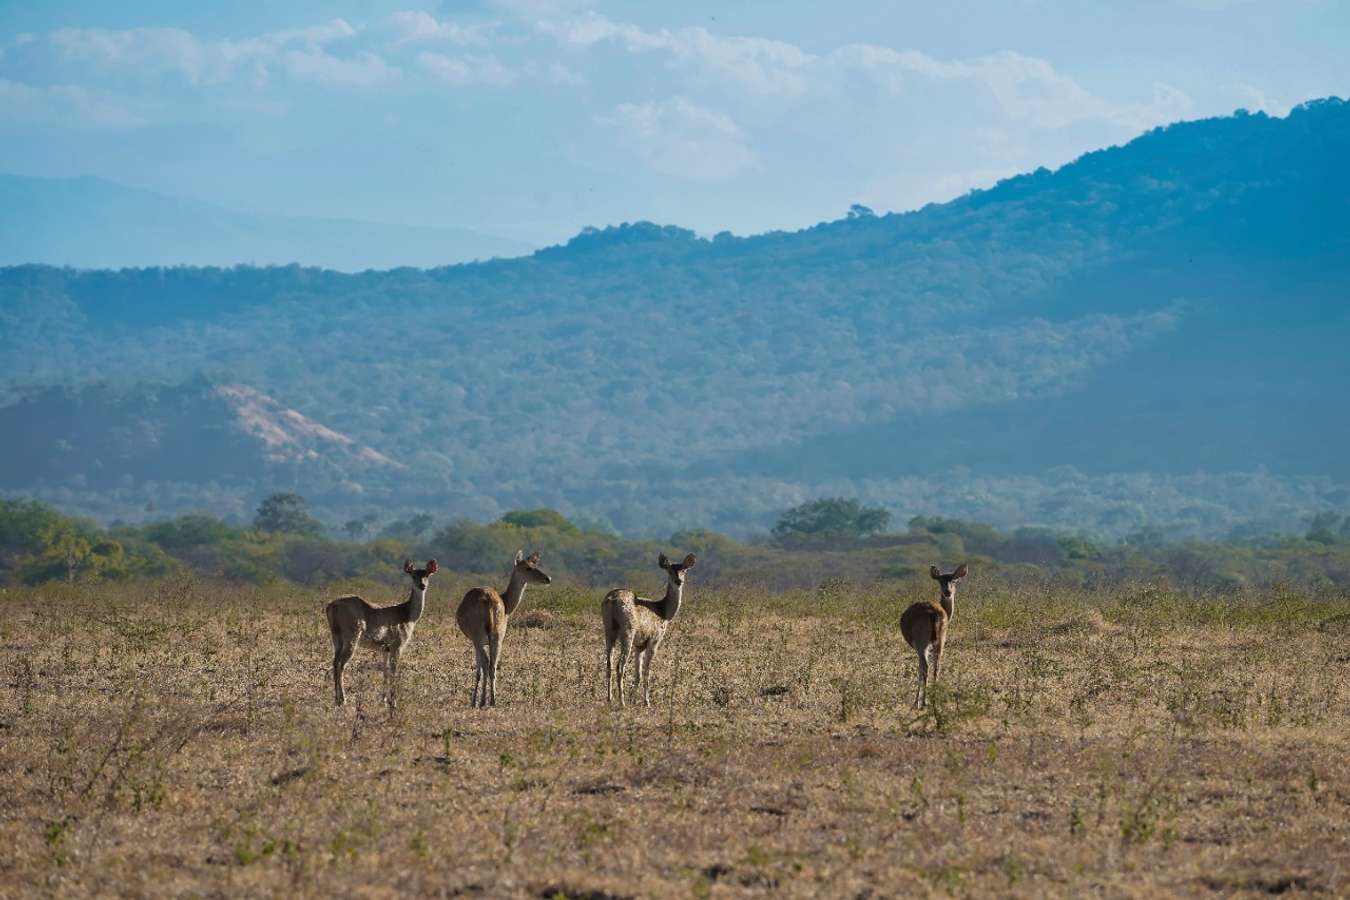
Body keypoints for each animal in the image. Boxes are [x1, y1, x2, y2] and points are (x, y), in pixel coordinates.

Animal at [326, 555, 437, 712]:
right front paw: (393, 702)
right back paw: (342, 700)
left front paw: (383, 700)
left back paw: (336, 699)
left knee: (334, 661)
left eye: (427, 574)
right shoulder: (397, 643)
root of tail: (330, 607)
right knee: (341, 663)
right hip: (351, 633)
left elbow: (385, 670)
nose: (422, 586)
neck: (408, 616)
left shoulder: (385, 648)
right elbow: (394, 670)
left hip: (335, 635)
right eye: (413, 575)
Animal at [456, 550, 550, 712]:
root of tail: (489, 601)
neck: (507, 604)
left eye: (534, 564)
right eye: (528, 567)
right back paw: (493, 701)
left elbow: (479, 669)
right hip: (498, 635)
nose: (548, 578)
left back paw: (482, 701)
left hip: (478, 635)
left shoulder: (477, 641)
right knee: (493, 665)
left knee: (487, 663)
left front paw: (473, 701)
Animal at [607, 553, 702, 707]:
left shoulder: (639, 645)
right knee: (620, 666)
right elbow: (647, 672)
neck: (664, 613)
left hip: (608, 629)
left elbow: (638, 674)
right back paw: (621, 702)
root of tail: (612, 600)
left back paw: (609, 698)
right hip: (628, 630)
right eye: (669, 570)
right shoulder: (654, 639)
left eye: (684, 570)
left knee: (608, 663)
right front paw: (646, 702)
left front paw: (633, 699)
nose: (678, 581)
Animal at [901, 564, 966, 712]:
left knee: (925, 666)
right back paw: (933, 700)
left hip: (922, 641)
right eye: (941, 581)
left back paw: (921, 702)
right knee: (937, 665)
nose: (948, 592)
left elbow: (920, 668)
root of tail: (932, 613)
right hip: (941, 637)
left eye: (954, 580)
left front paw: (917, 701)